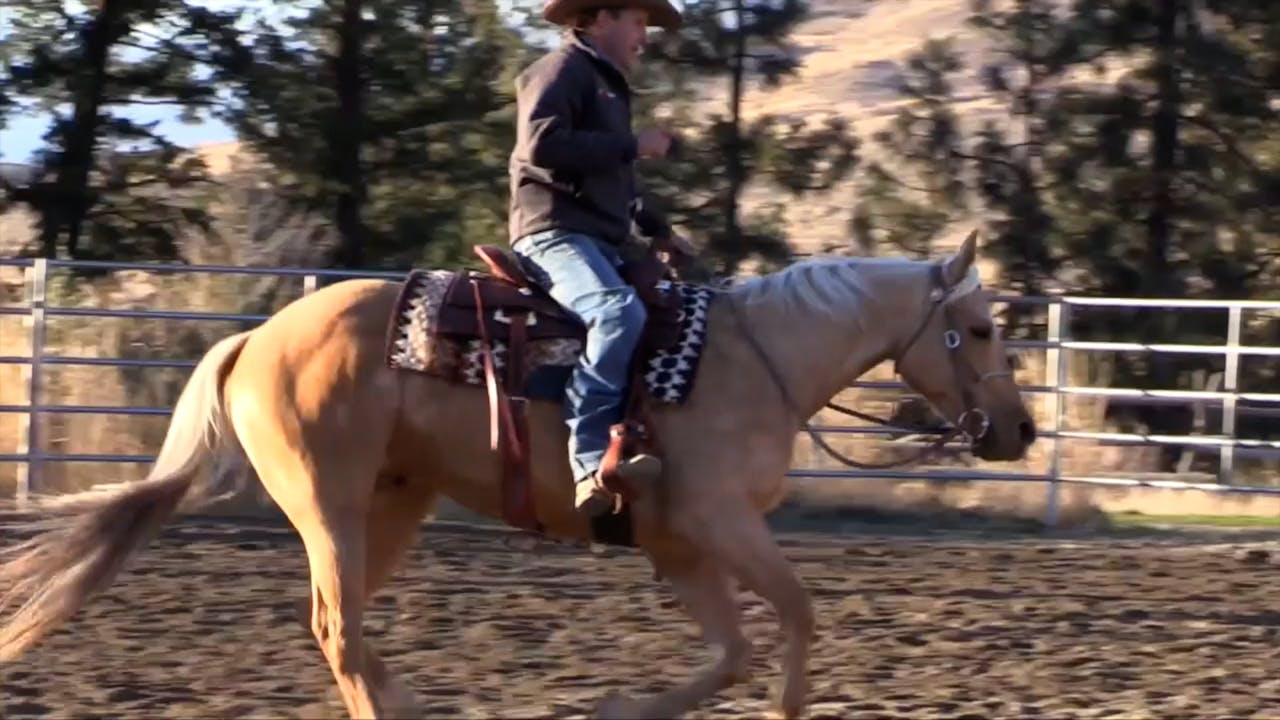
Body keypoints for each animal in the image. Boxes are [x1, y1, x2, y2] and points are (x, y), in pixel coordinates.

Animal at [0, 229, 1035, 719]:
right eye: (981, 329)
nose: (1019, 431)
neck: (758, 358)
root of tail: (256, 338)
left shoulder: (680, 545)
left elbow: (735, 650)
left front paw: (621, 706)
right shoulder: (723, 525)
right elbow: (797, 615)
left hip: (395, 503)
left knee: (342, 625)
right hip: (329, 502)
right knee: (337, 626)